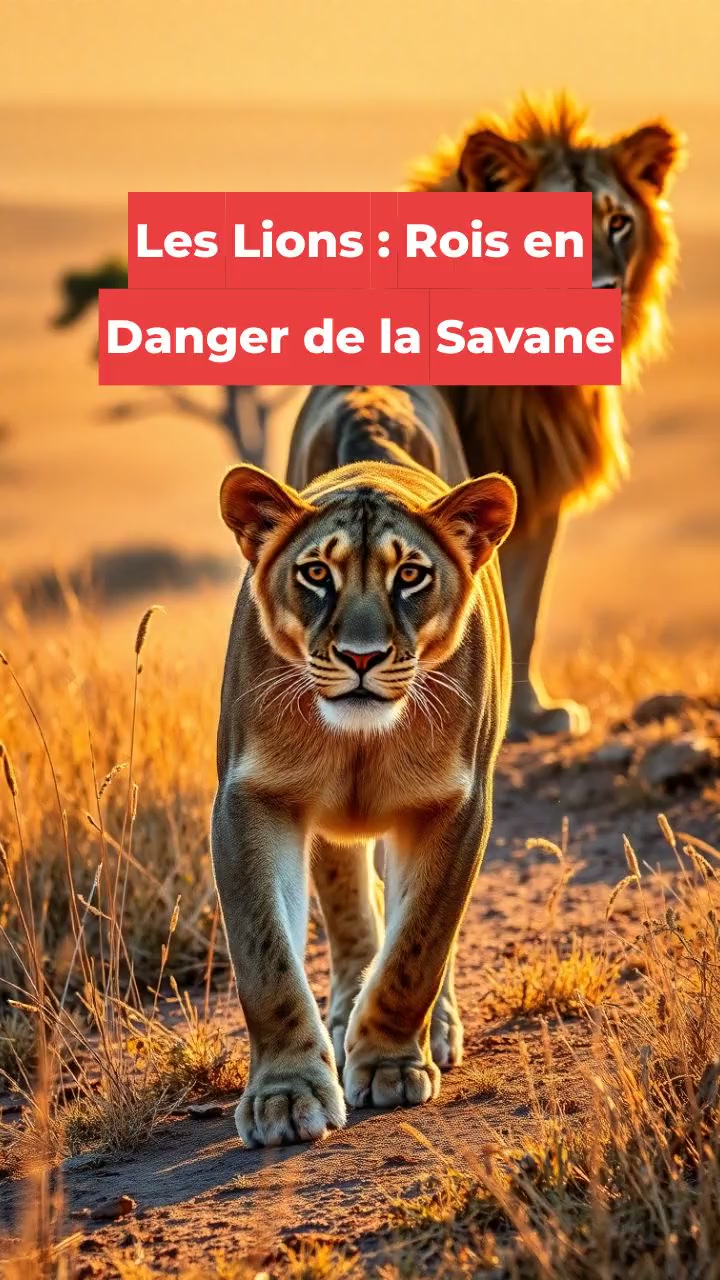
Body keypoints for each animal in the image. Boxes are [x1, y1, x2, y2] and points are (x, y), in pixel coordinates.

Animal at [212, 386, 516, 1146]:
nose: (361, 656)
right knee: (349, 911)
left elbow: (418, 948)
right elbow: (267, 960)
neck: (360, 740)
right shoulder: (253, 799)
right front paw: (286, 1095)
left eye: (411, 576)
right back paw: (346, 1011)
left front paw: (388, 1066)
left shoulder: (455, 806)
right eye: (316, 573)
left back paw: (432, 1030)